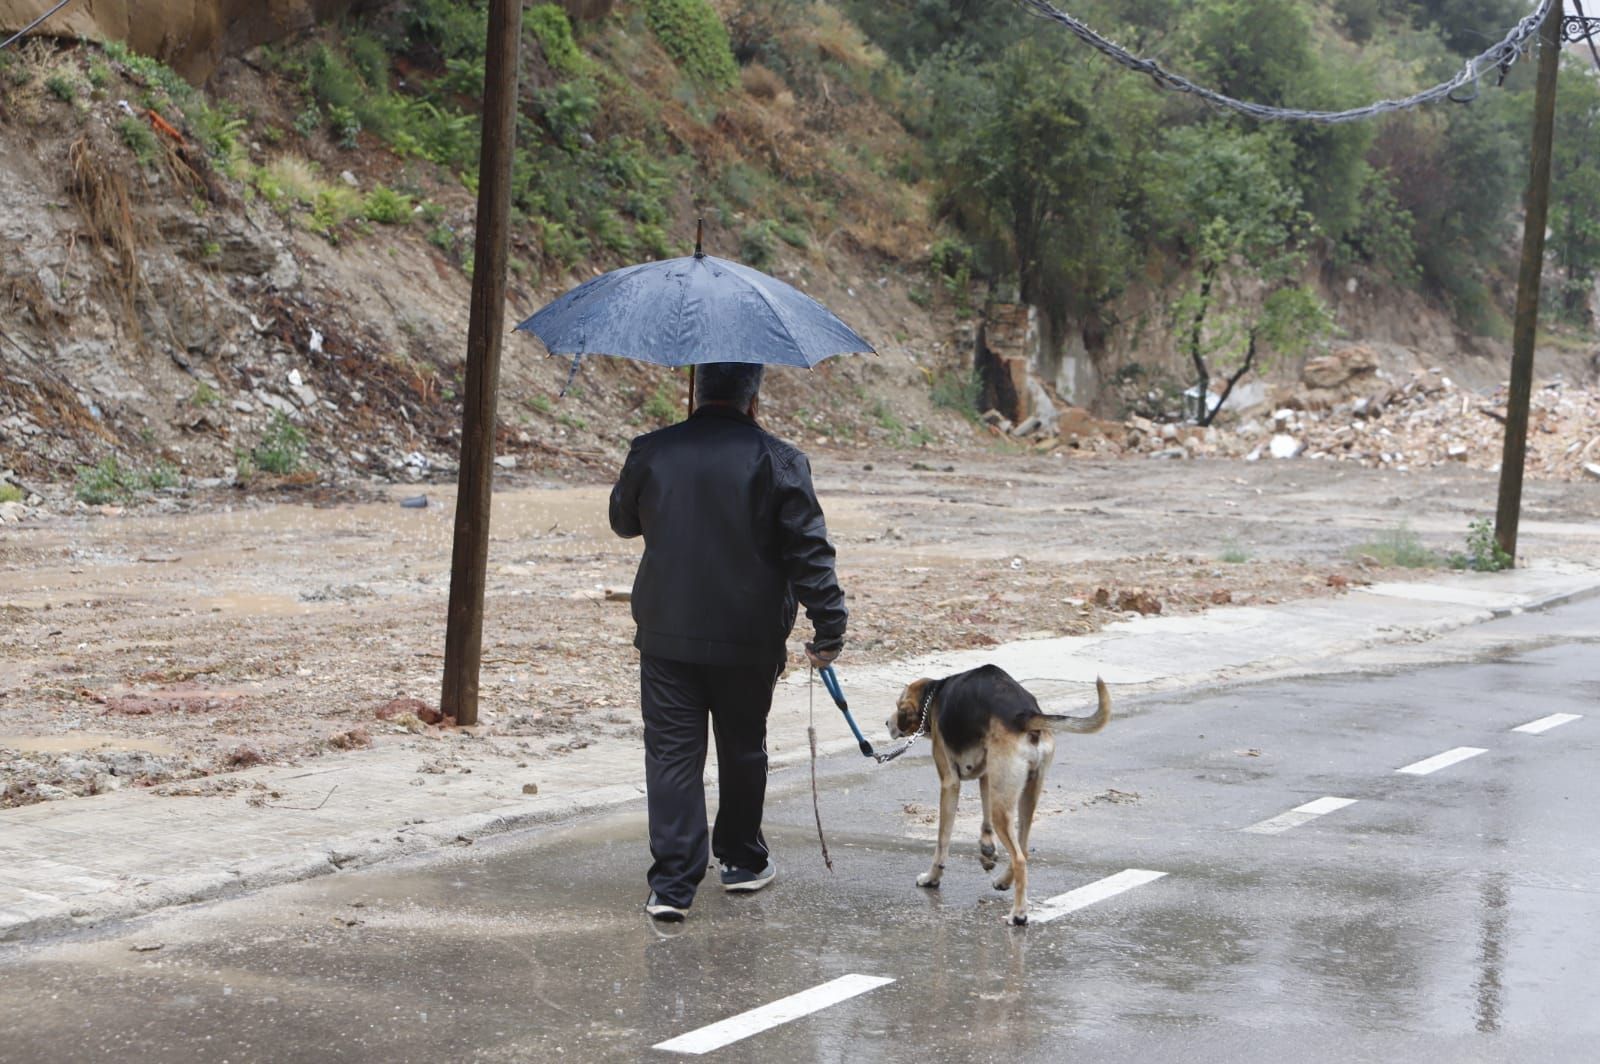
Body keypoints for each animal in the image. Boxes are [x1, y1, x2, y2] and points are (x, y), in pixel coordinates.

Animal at [889, 665, 1113, 921]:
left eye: (898, 706)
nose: (886, 723)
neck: (934, 695)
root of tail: (1024, 714)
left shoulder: (949, 783)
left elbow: (942, 840)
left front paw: (932, 878)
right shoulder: (987, 775)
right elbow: (984, 819)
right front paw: (987, 850)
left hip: (1003, 804)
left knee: (1019, 858)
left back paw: (1019, 913)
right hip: (1023, 794)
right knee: (1023, 848)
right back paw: (1006, 881)